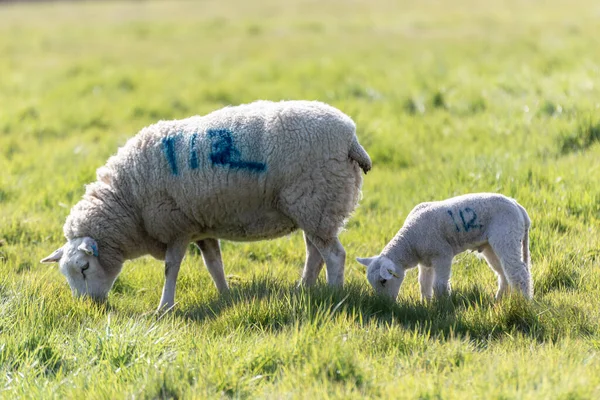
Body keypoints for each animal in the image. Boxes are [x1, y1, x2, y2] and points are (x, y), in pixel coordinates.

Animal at [39, 100, 370, 312]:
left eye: (84, 267)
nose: (88, 307)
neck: (127, 199)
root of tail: (351, 138)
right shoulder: (202, 227)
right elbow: (214, 265)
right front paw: (225, 296)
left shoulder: (176, 226)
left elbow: (171, 268)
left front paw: (164, 308)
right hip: (311, 207)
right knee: (315, 253)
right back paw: (304, 289)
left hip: (316, 200)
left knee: (334, 255)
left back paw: (334, 295)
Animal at [356, 193, 528, 300]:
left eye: (383, 281)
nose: (385, 305)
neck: (409, 242)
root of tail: (517, 205)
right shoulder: (426, 261)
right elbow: (424, 284)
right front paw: (425, 303)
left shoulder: (442, 254)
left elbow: (439, 285)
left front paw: (443, 305)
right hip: (490, 245)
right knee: (504, 273)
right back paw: (499, 299)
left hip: (507, 235)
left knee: (519, 273)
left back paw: (524, 302)